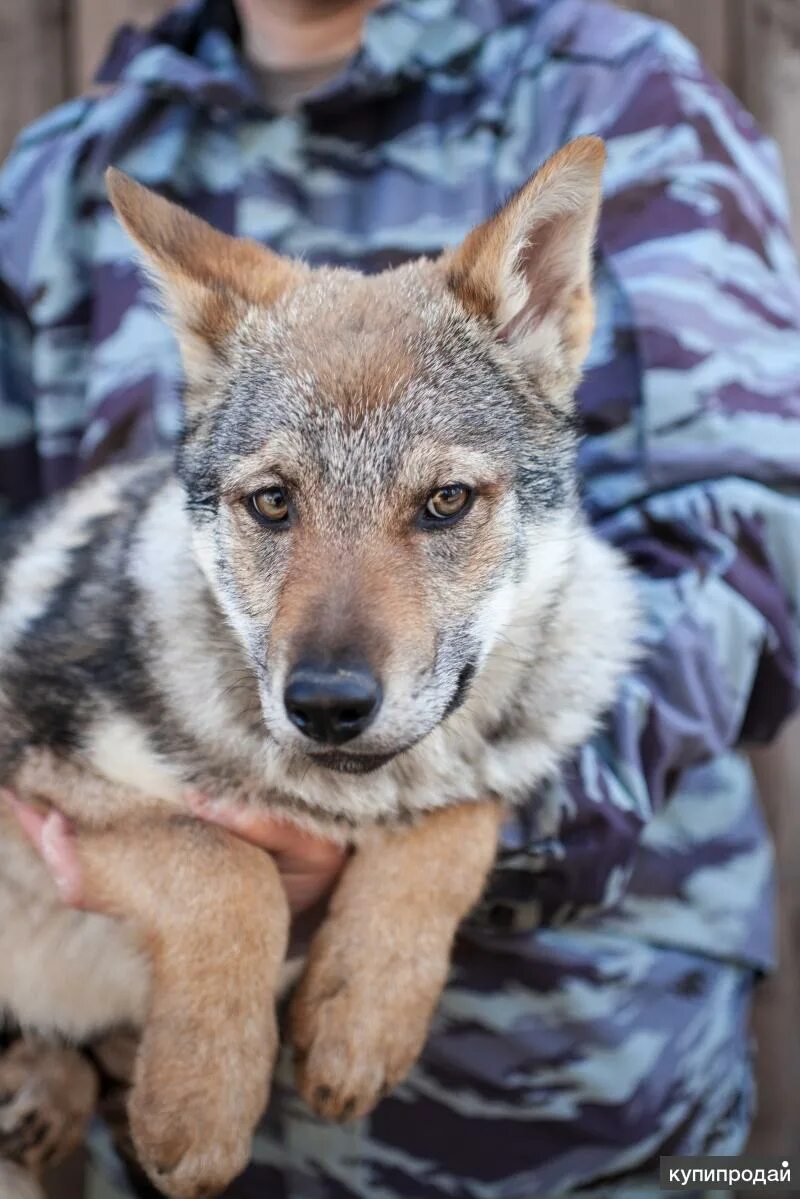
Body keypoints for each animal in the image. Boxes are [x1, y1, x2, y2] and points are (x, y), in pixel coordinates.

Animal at [0, 136, 633, 1194]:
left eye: (446, 501)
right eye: (273, 503)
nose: (327, 705)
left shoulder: (490, 768)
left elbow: (451, 824)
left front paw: (360, 1021)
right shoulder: (39, 772)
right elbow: (225, 867)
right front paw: (201, 1105)